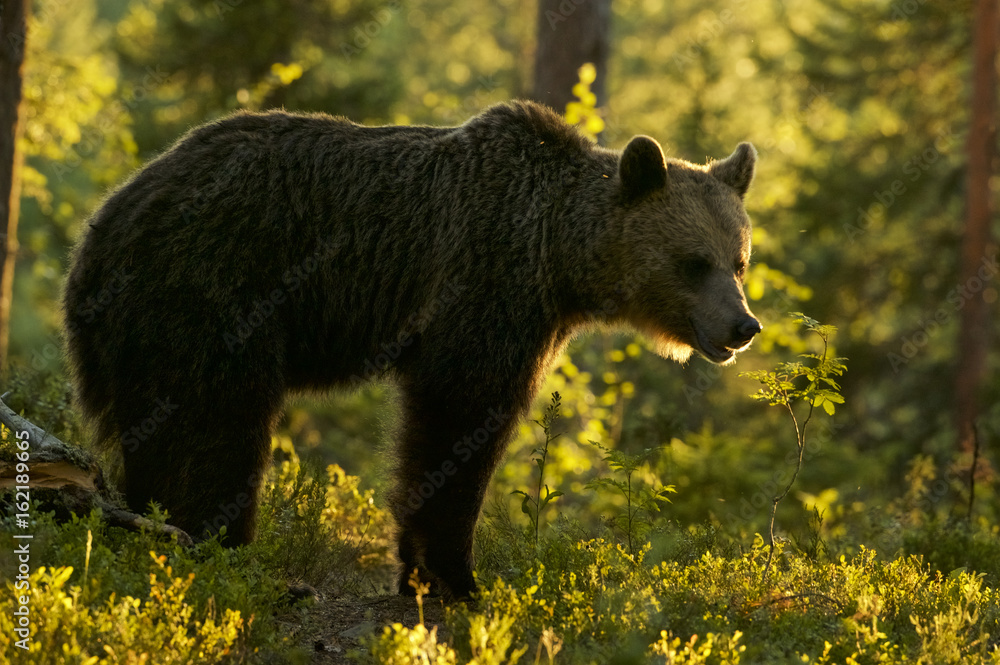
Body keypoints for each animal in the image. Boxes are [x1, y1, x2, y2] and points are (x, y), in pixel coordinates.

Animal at [63, 100, 760, 599]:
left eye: (739, 260)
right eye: (693, 262)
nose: (742, 326)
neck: (557, 259)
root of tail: (102, 228)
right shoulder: (483, 285)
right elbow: (457, 417)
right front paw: (452, 575)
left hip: (140, 337)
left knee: (157, 431)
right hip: (211, 289)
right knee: (219, 426)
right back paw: (225, 549)